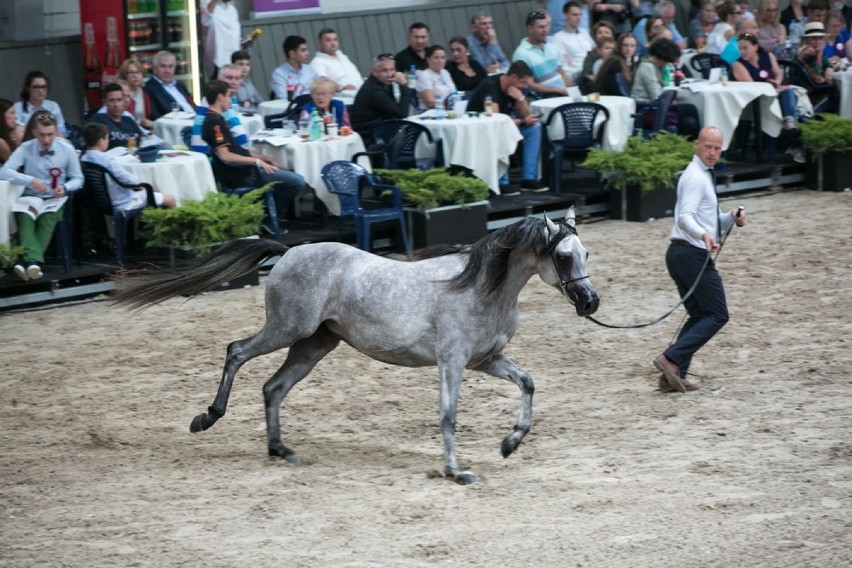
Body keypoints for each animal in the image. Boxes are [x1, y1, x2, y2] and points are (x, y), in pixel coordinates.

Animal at [115, 209, 600, 484]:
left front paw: (509, 444)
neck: (481, 287)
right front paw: (456, 472)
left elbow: (528, 383)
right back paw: (207, 419)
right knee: (236, 351)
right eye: (562, 257)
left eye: (586, 254)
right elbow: (448, 417)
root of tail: (289, 251)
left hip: (314, 345)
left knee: (273, 387)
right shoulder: (453, 362)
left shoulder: (487, 360)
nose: (591, 302)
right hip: (287, 330)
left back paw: (281, 450)